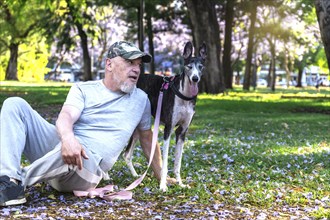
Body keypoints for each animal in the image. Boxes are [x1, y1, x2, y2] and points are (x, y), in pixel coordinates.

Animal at [124, 42, 206, 192]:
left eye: (201, 67)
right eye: (189, 66)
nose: (195, 78)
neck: (184, 95)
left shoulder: (182, 132)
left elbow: (178, 162)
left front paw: (180, 183)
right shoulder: (168, 129)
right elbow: (166, 162)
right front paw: (162, 185)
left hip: (139, 127)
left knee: (127, 155)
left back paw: (135, 176)